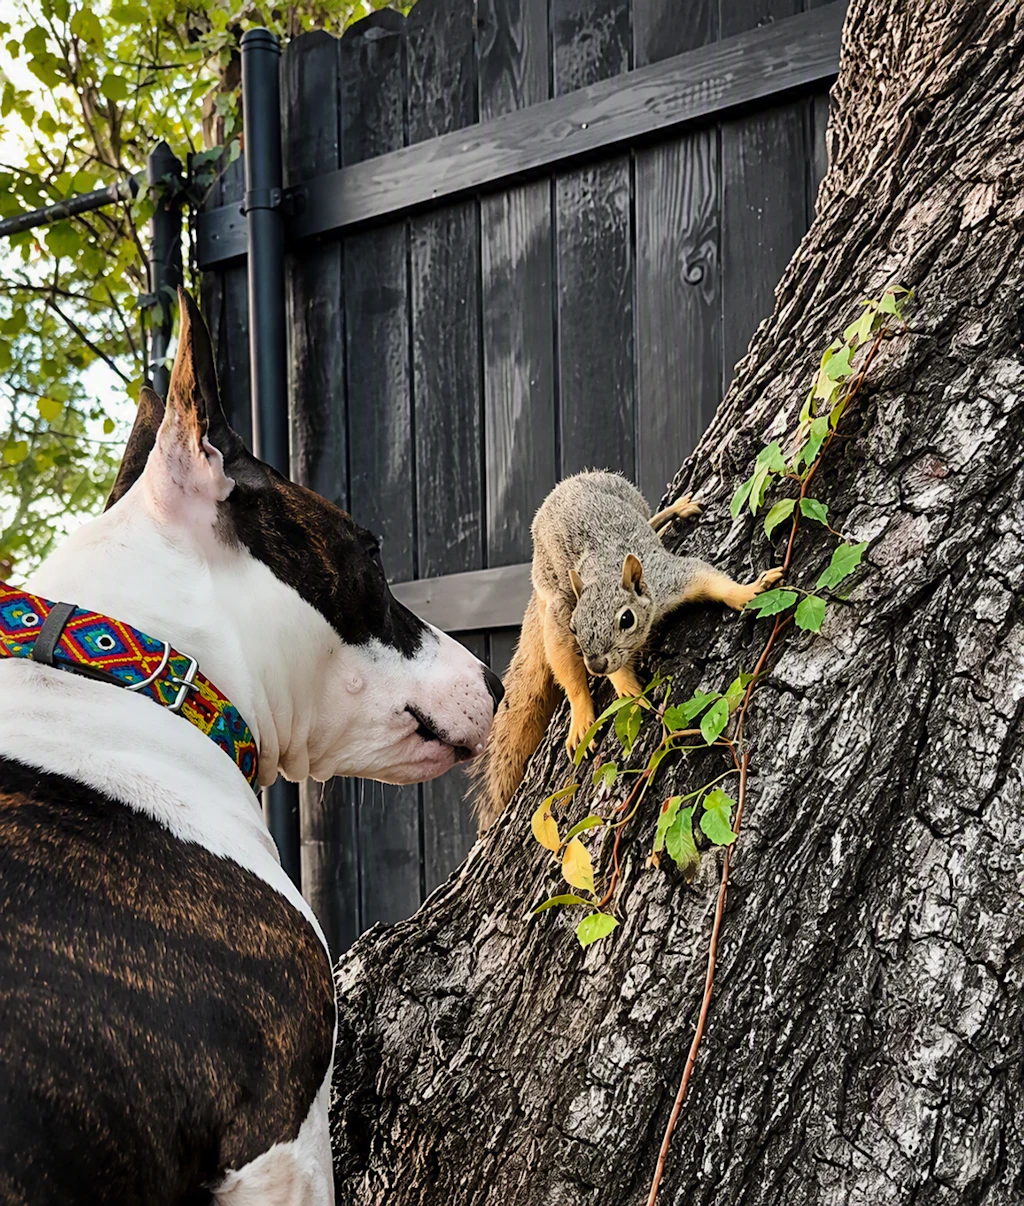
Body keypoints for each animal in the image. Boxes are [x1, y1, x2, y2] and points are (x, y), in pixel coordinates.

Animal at [470, 470, 784, 827]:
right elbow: (596, 667)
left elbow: (709, 578)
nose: (595, 665)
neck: (605, 573)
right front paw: (626, 689)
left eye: (626, 619)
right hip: (552, 590)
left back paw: (676, 509)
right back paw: (581, 716)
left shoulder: (670, 577)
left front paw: (750, 590)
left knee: (650, 519)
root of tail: (562, 488)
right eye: (576, 628)